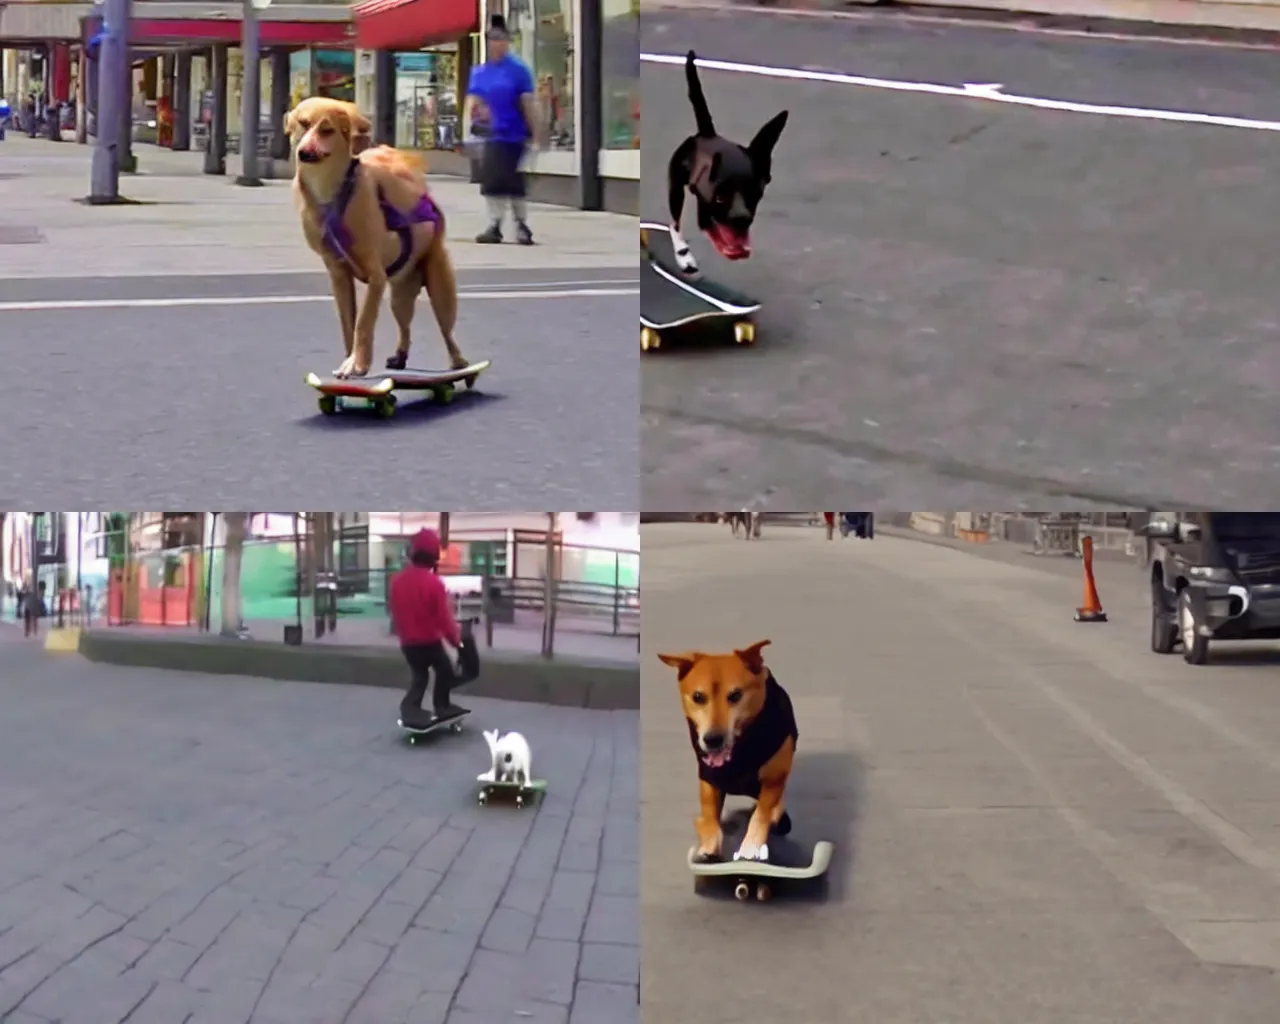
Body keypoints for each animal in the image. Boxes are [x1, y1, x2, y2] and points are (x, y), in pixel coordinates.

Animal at [665, 49, 783, 273]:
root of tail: (707, 134)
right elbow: (708, 225)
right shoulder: (706, 205)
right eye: (720, 197)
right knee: (677, 221)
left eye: (754, 194)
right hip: (676, 188)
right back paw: (683, 254)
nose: (741, 218)